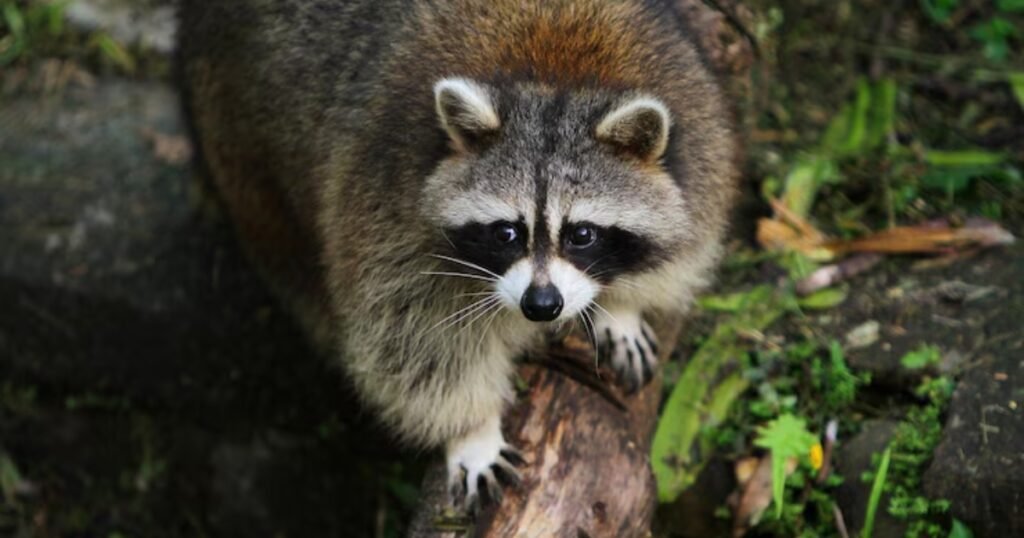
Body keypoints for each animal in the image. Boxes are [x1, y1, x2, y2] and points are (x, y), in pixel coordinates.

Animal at [179, 0, 738, 509]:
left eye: (582, 234)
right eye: (506, 232)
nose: (541, 306)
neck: (554, 70)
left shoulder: (700, 133)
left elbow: (686, 236)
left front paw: (621, 305)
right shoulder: (387, 203)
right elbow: (414, 341)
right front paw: (471, 430)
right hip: (238, 143)